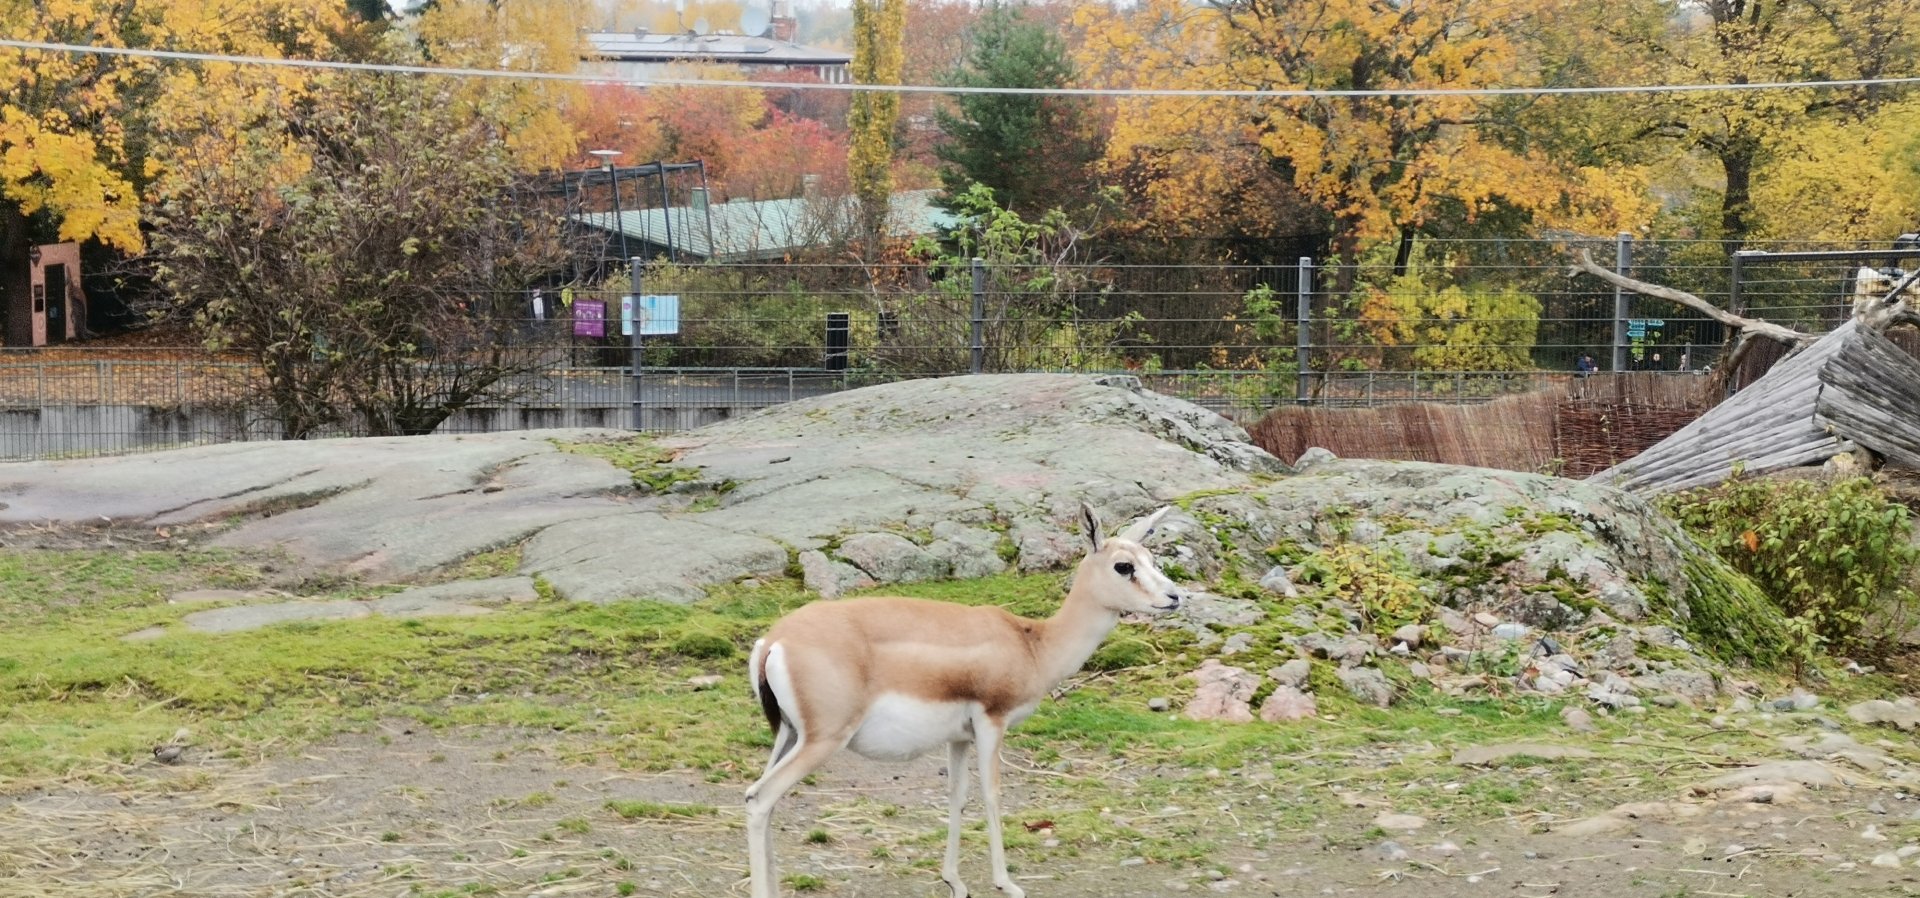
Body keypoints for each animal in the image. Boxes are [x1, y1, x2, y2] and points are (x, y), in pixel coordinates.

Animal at [745, 504, 1187, 898]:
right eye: (1123, 566)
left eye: (1151, 558)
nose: (1174, 597)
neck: (1033, 644)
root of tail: (774, 641)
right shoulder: (993, 721)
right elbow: (992, 793)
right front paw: (1006, 883)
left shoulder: (958, 737)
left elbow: (957, 796)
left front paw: (954, 882)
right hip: (823, 740)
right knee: (760, 798)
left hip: (788, 734)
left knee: (759, 797)